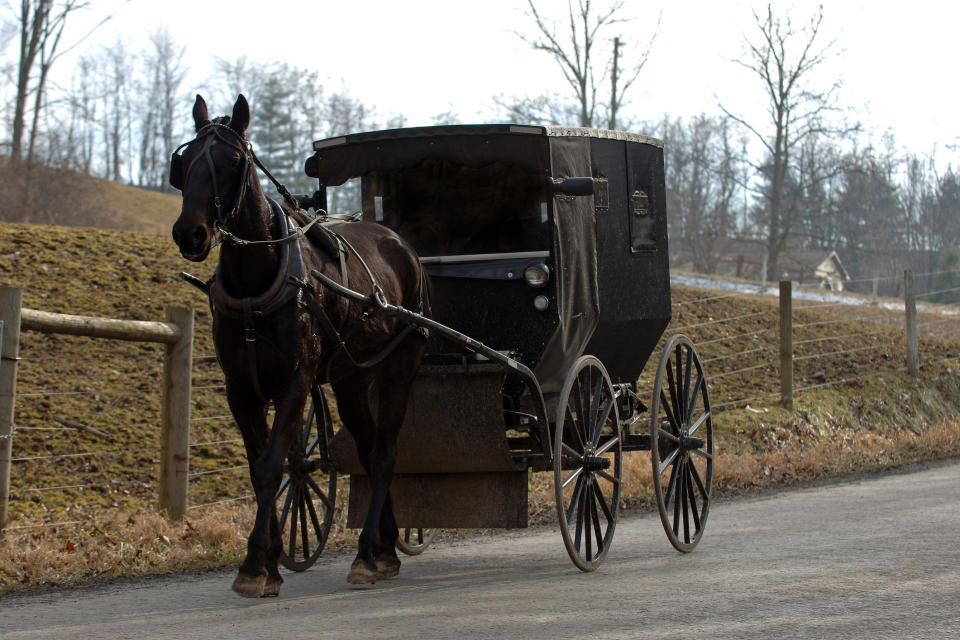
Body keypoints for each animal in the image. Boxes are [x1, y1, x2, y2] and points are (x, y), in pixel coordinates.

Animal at [171, 94, 430, 596]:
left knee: (385, 453)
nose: (190, 233)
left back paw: (369, 551)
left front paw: (256, 563)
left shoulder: (296, 380)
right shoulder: (241, 390)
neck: (255, 283)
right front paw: (269, 560)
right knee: (368, 450)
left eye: (232, 162)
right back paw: (383, 548)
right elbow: (260, 468)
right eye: (185, 162)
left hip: (399, 366)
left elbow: (273, 464)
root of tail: (398, 242)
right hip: (351, 378)